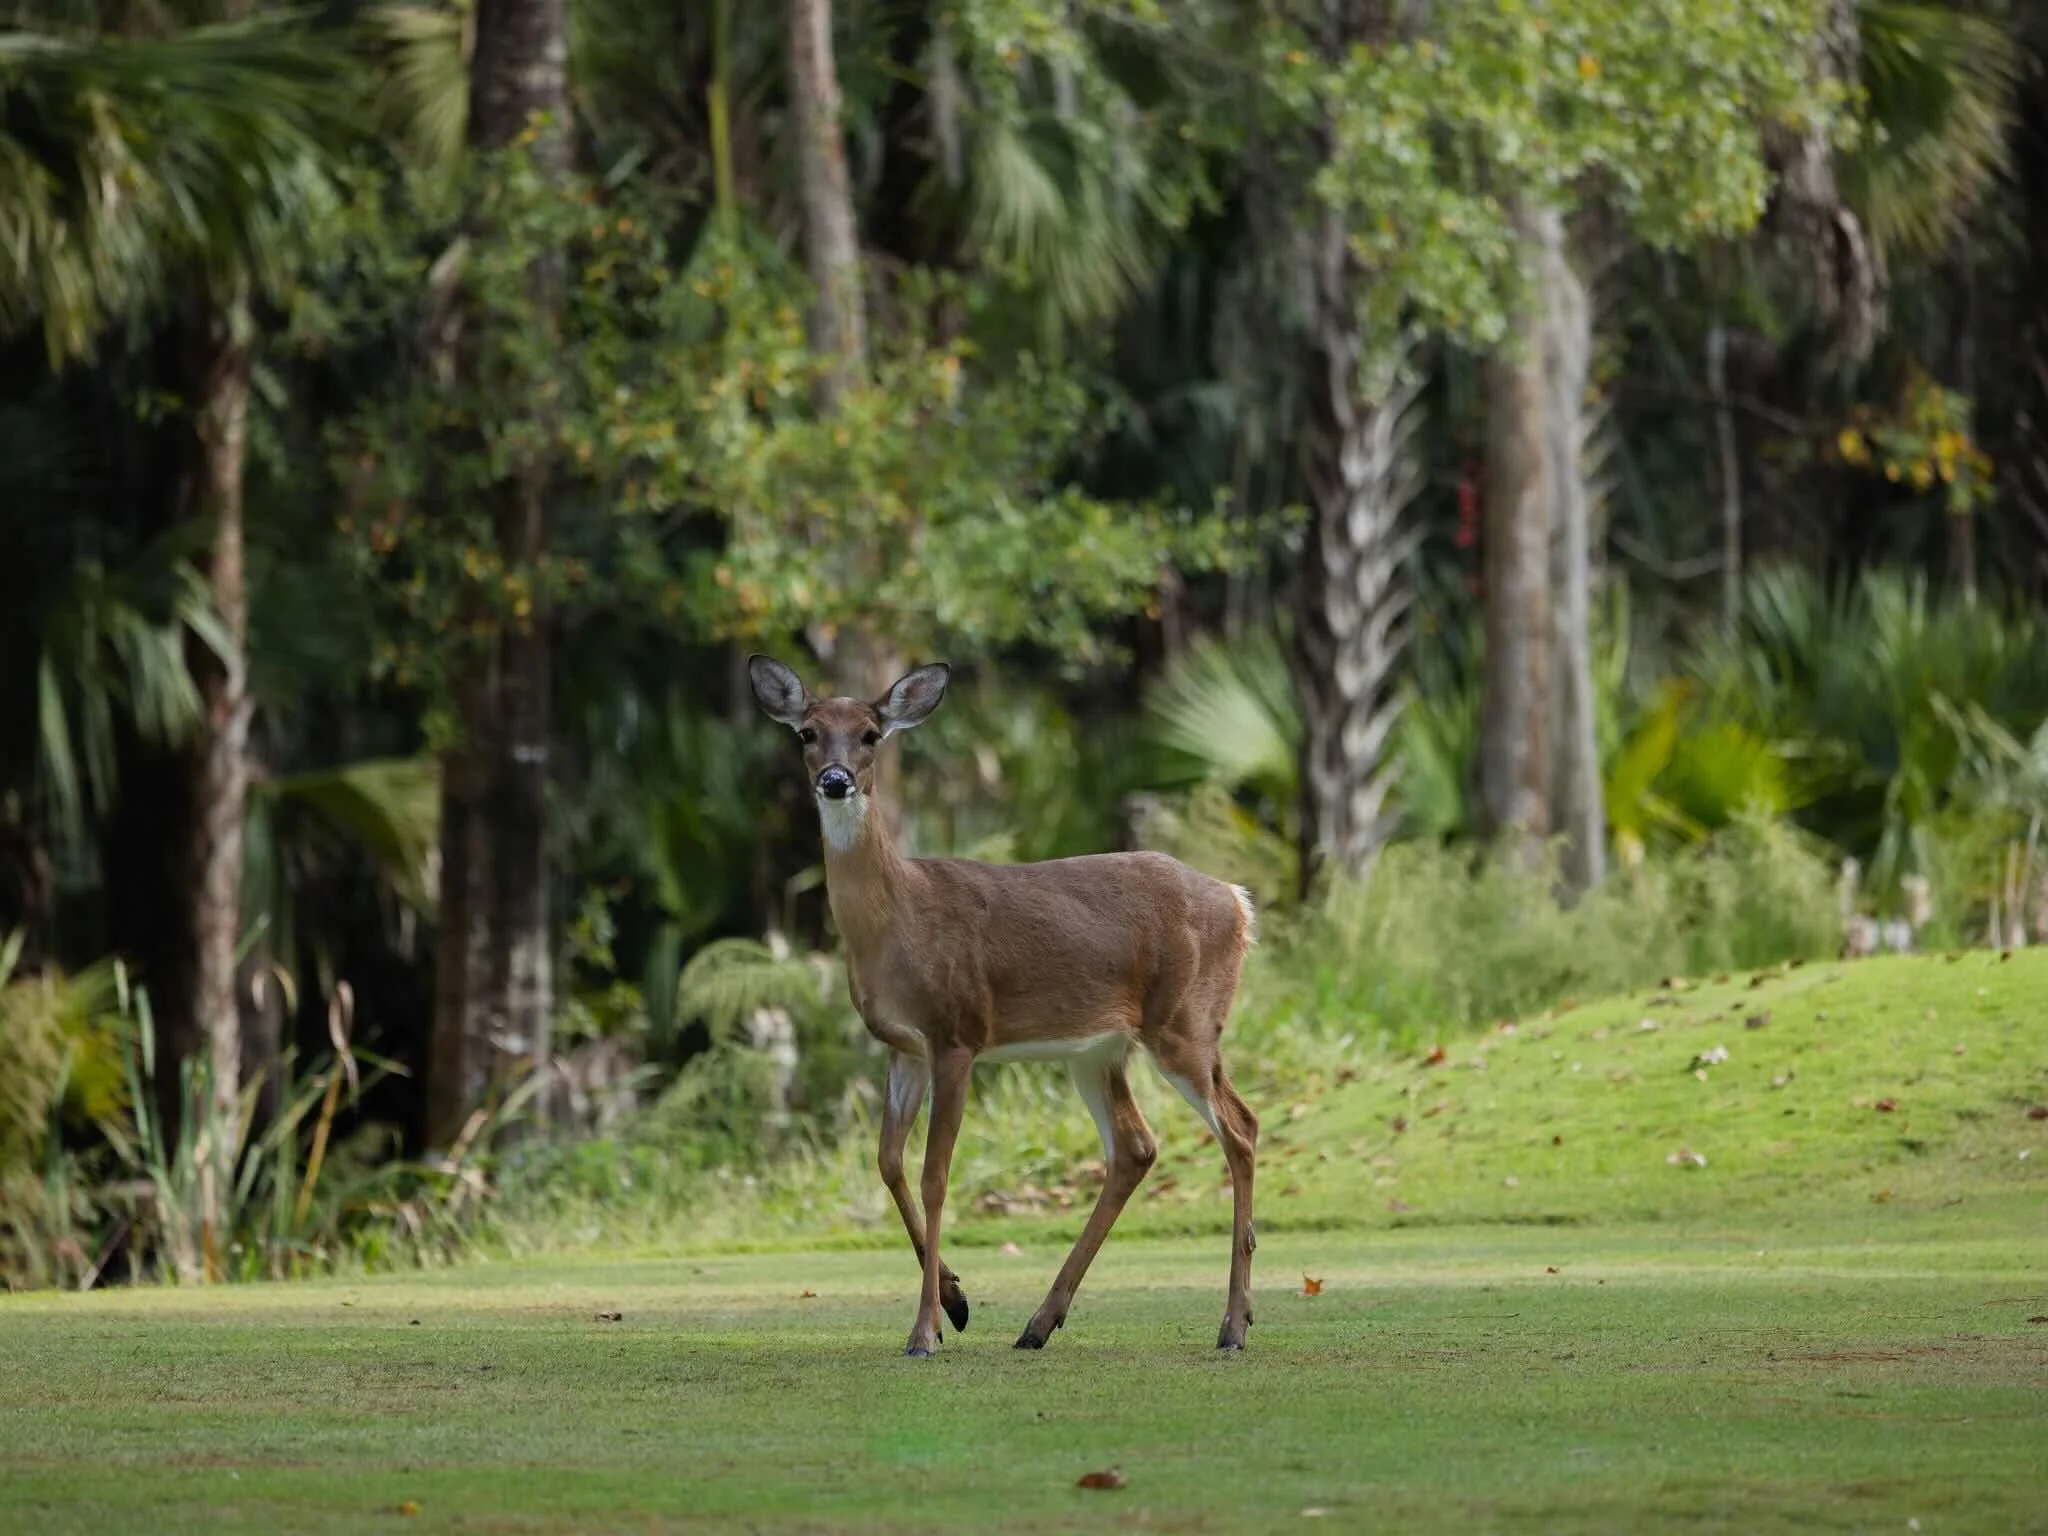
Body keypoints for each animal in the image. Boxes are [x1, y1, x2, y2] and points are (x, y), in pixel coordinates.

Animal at [748, 654, 1261, 1357]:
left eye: (871, 734)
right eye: (807, 732)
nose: (835, 780)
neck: (898, 920)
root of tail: (1238, 900)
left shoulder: (957, 1032)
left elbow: (935, 1174)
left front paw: (924, 1332)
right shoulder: (903, 1045)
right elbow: (888, 1163)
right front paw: (955, 1301)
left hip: (1185, 1022)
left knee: (1241, 1128)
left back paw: (1233, 1325)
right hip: (1097, 1049)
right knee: (1136, 1146)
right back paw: (1040, 1323)